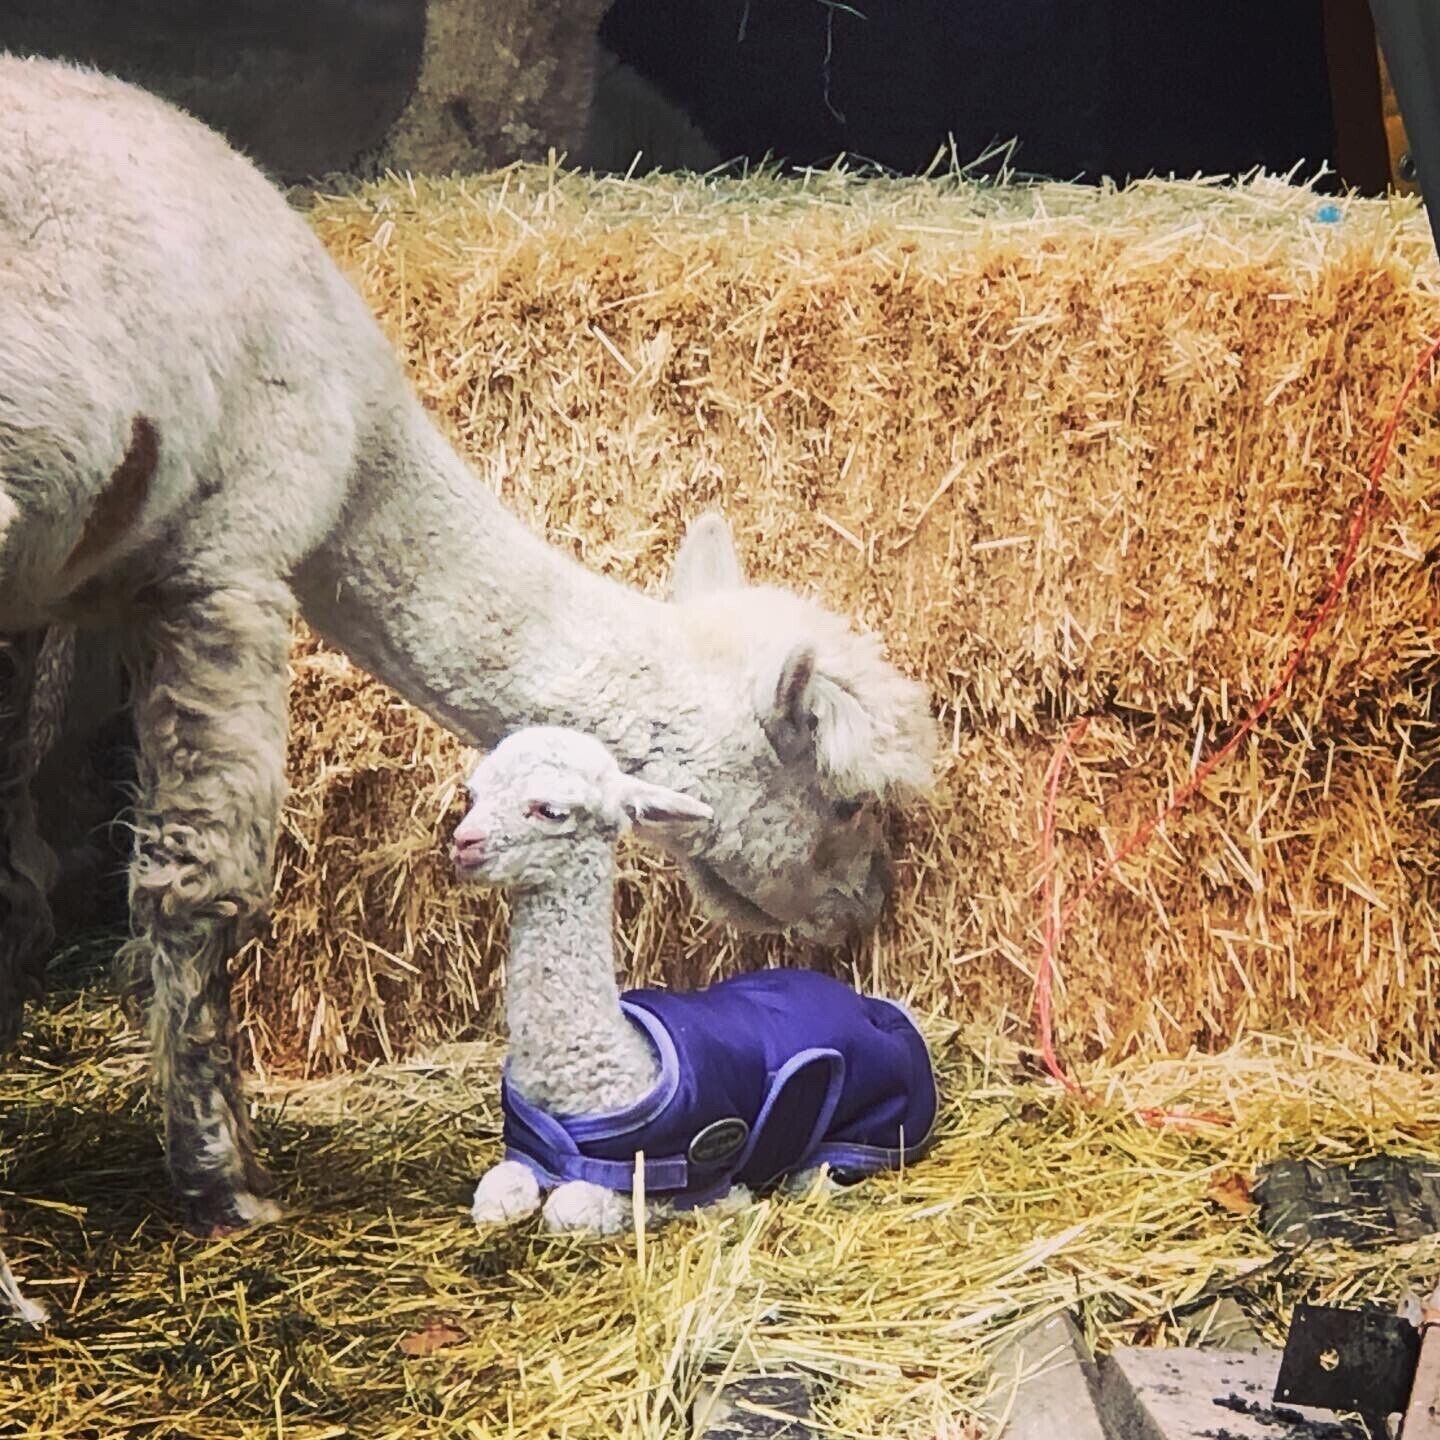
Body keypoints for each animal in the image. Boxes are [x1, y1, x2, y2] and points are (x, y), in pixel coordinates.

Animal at [457, 728, 938, 1235]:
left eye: (550, 809)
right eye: (474, 795)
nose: (463, 841)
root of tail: (878, 1008)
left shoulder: (673, 1178)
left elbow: (570, 1207)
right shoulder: (529, 1150)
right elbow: (496, 1194)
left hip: (876, 1121)